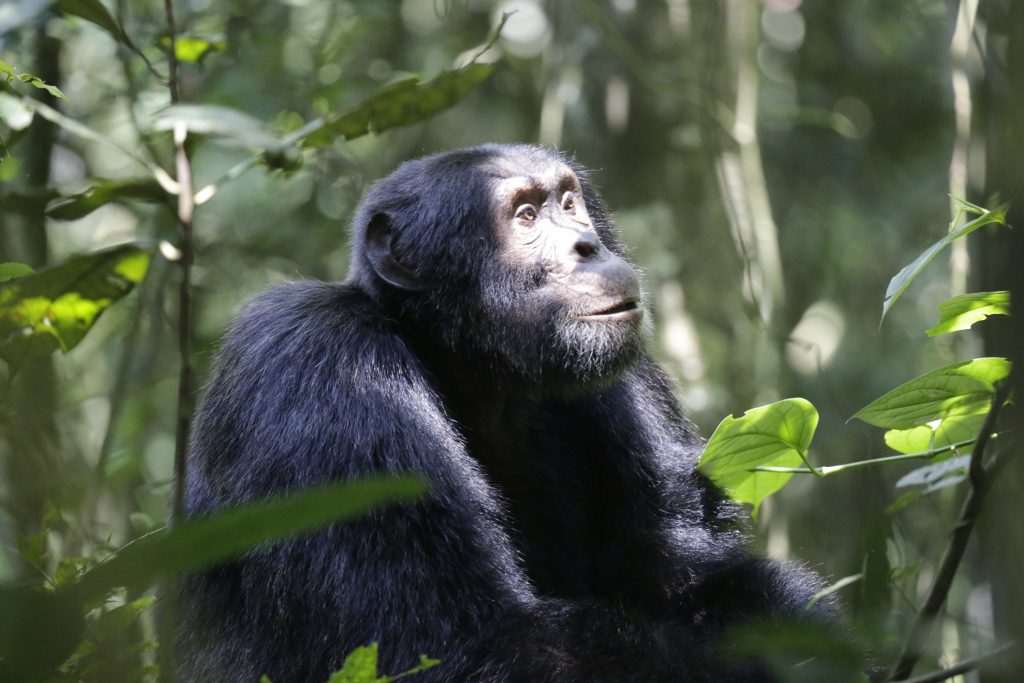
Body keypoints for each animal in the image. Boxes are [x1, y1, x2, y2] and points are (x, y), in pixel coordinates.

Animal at [174, 141, 839, 679]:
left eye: (568, 201)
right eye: (525, 215)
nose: (587, 245)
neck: (464, 364)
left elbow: (689, 573)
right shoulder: (326, 370)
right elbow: (461, 643)